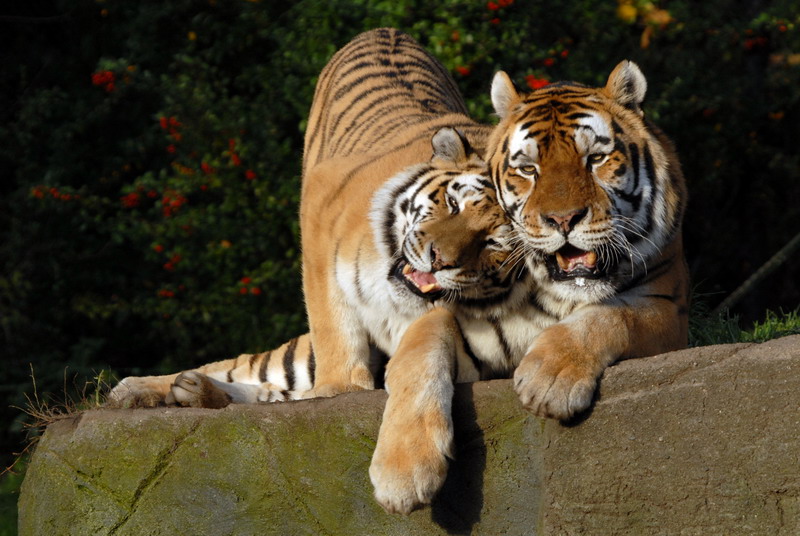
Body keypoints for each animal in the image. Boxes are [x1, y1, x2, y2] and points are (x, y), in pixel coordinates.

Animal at [107, 125, 520, 409]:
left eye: (491, 243)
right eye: (451, 205)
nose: (438, 258)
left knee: (265, 390)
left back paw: (193, 392)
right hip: (297, 356)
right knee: (242, 369)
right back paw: (134, 388)